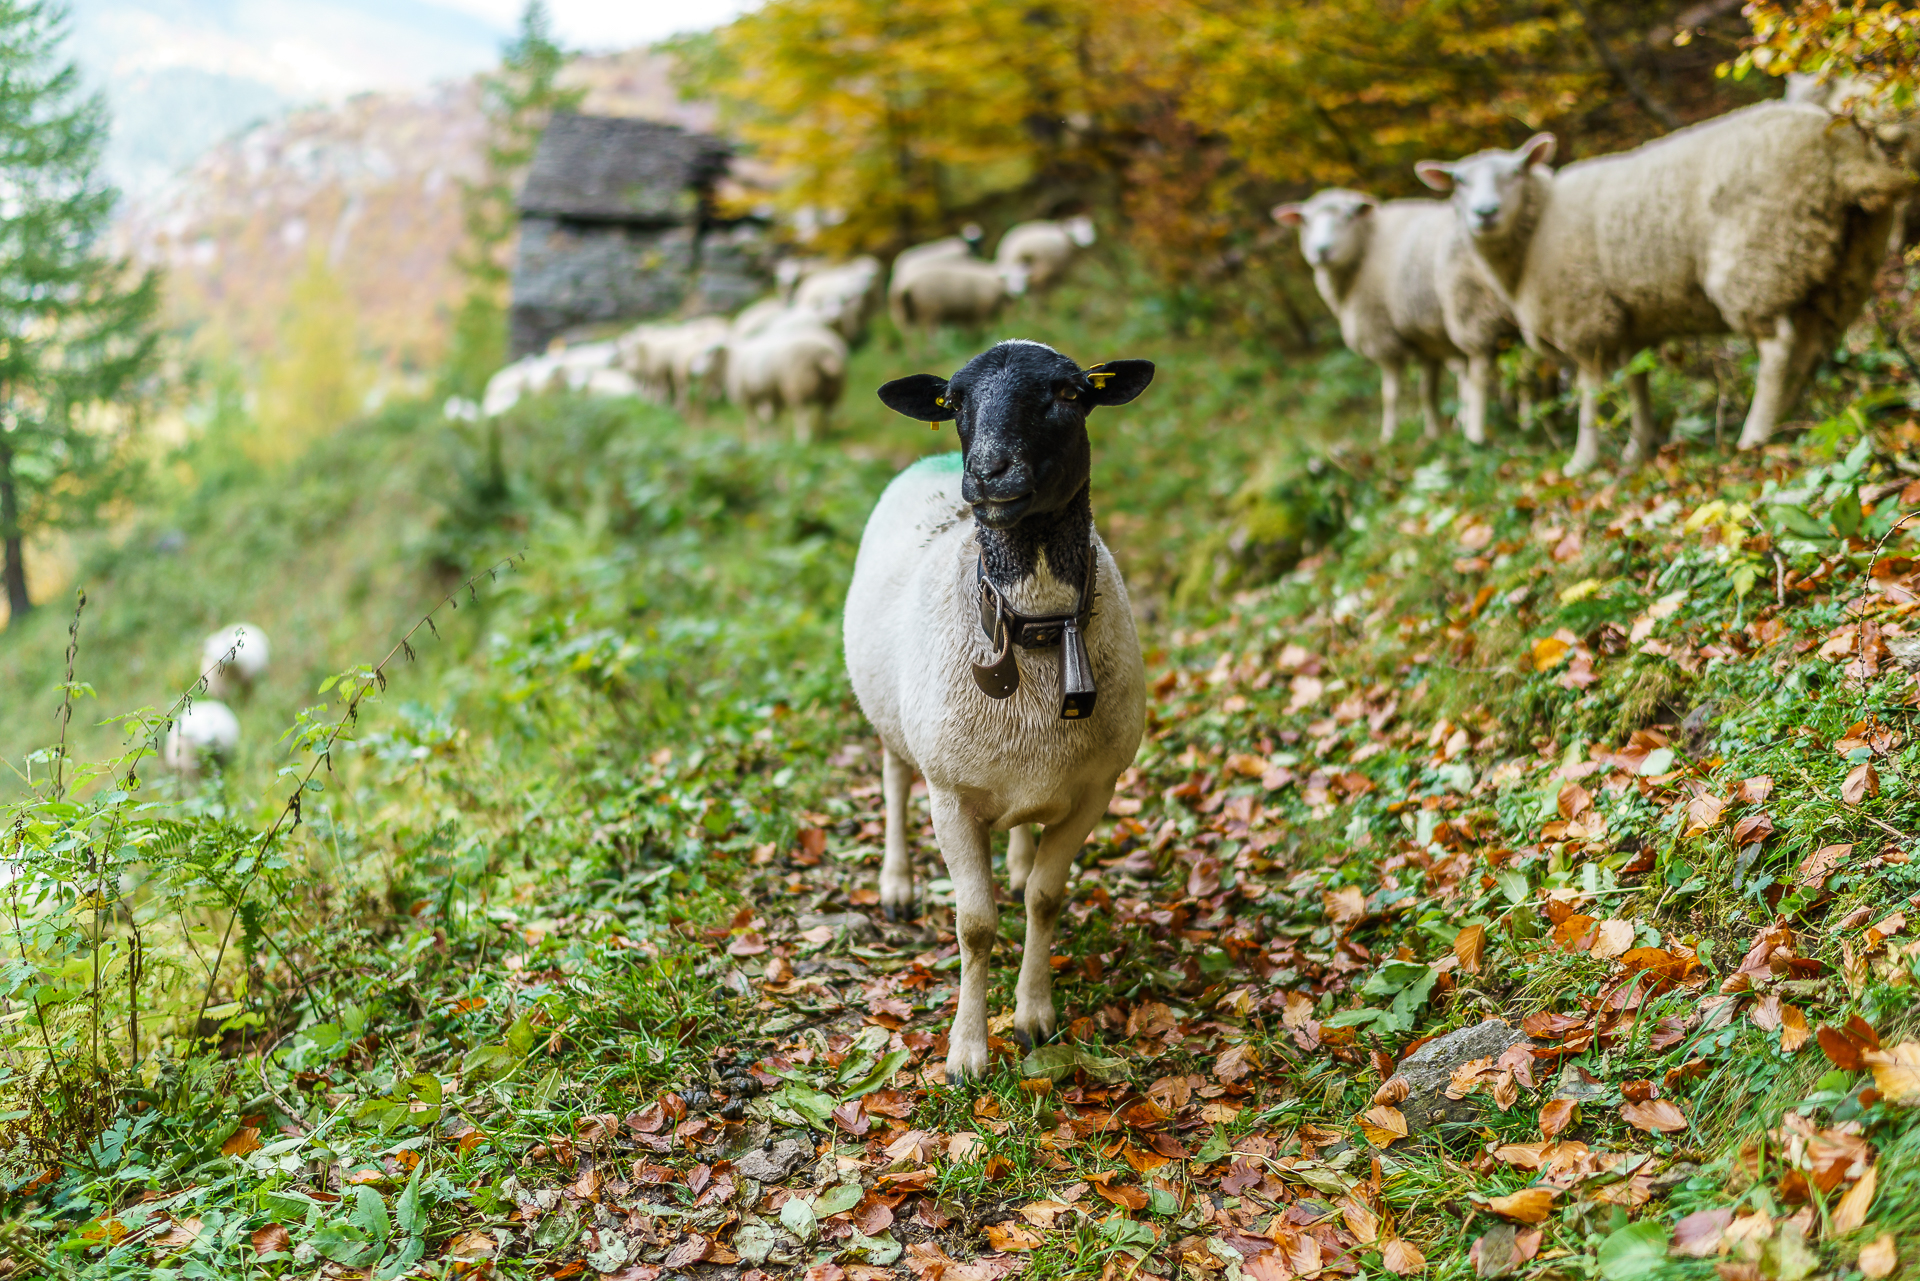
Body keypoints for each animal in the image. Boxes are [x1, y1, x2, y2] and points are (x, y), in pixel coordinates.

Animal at [845, 340, 1153, 1080]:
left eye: (1070, 394)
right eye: (955, 401)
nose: (986, 473)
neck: (1035, 628)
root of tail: (926, 461)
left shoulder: (1094, 788)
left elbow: (1045, 897)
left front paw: (1034, 1017)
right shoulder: (952, 794)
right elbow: (976, 924)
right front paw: (967, 1053)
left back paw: (1013, 861)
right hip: (895, 719)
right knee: (893, 779)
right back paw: (896, 883)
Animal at [1273, 191, 1461, 442]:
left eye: (1348, 216)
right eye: (1305, 220)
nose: (1321, 250)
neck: (1366, 246)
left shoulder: (1383, 337)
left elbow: (1389, 394)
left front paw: (1388, 436)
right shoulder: (1426, 340)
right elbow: (1427, 391)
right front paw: (1433, 433)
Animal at [1416, 102, 1914, 473]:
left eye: (1515, 172)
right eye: (1458, 181)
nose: (1484, 213)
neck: (1534, 233)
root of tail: (1843, 153)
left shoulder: (1584, 318)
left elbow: (1591, 394)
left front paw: (1583, 460)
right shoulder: (1632, 322)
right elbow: (1638, 383)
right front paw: (1638, 448)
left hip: (1759, 255)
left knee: (1778, 349)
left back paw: (1753, 434)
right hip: (1849, 262)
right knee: (1815, 347)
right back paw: (1785, 419)